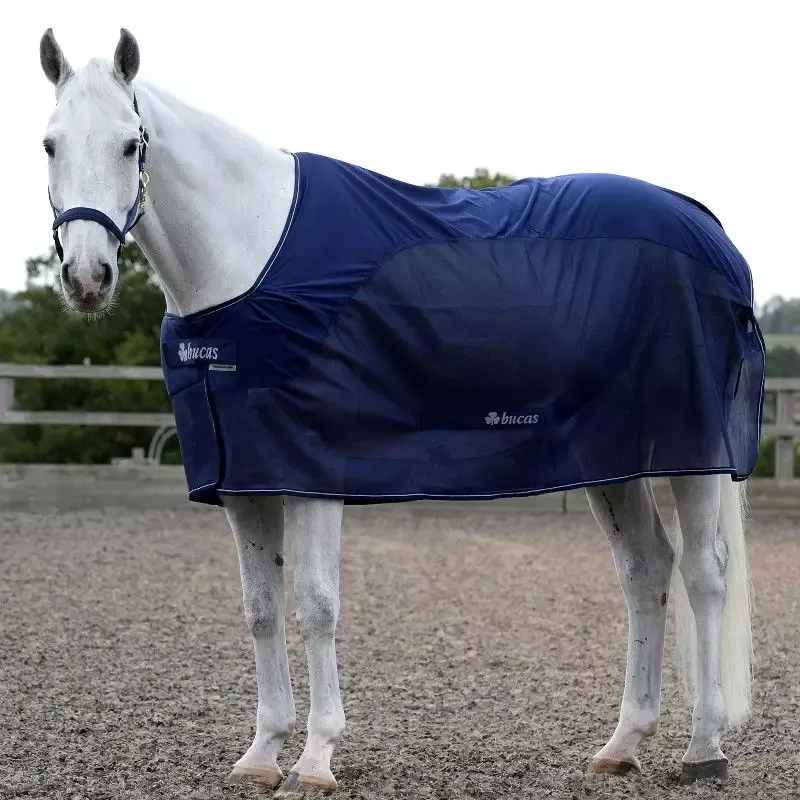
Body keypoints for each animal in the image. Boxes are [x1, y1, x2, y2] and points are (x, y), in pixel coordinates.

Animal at [38, 28, 764, 793]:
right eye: (50, 144)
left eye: (129, 144)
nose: (87, 278)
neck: (250, 257)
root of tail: (708, 228)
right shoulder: (244, 480)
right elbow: (261, 610)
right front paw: (262, 754)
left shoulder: (311, 471)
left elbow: (316, 605)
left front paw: (316, 759)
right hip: (612, 459)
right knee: (646, 572)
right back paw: (623, 744)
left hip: (692, 453)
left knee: (703, 576)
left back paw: (704, 749)